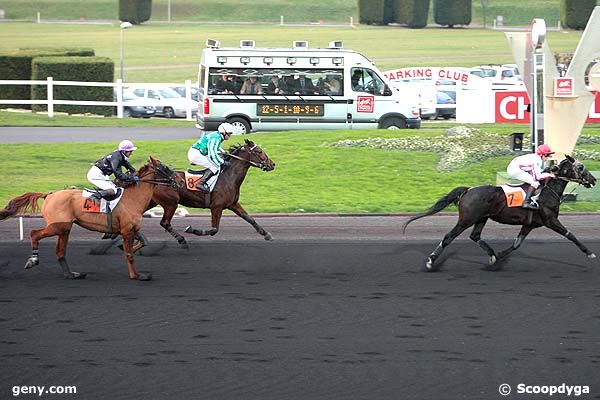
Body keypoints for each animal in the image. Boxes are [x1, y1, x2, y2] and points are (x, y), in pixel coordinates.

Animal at [0, 157, 177, 282]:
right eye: (165, 168)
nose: (180, 181)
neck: (132, 198)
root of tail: (49, 195)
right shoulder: (127, 230)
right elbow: (130, 255)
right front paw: (137, 276)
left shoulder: (132, 229)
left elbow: (142, 242)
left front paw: (122, 247)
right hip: (58, 226)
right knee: (34, 233)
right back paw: (33, 260)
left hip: (65, 229)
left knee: (60, 252)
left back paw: (71, 274)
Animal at [404, 156, 596, 272]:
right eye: (581, 167)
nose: (593, 180)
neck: (547, 192)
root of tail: (468, 190)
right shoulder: (550, 220)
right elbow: (570, 235)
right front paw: (589, 253)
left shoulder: (530, 224)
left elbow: (517, 244)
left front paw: (500, 255)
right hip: (466, 219)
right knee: (448, 237)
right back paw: (430, 261)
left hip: (481, 218)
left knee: (475, 236)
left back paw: (492, 255)